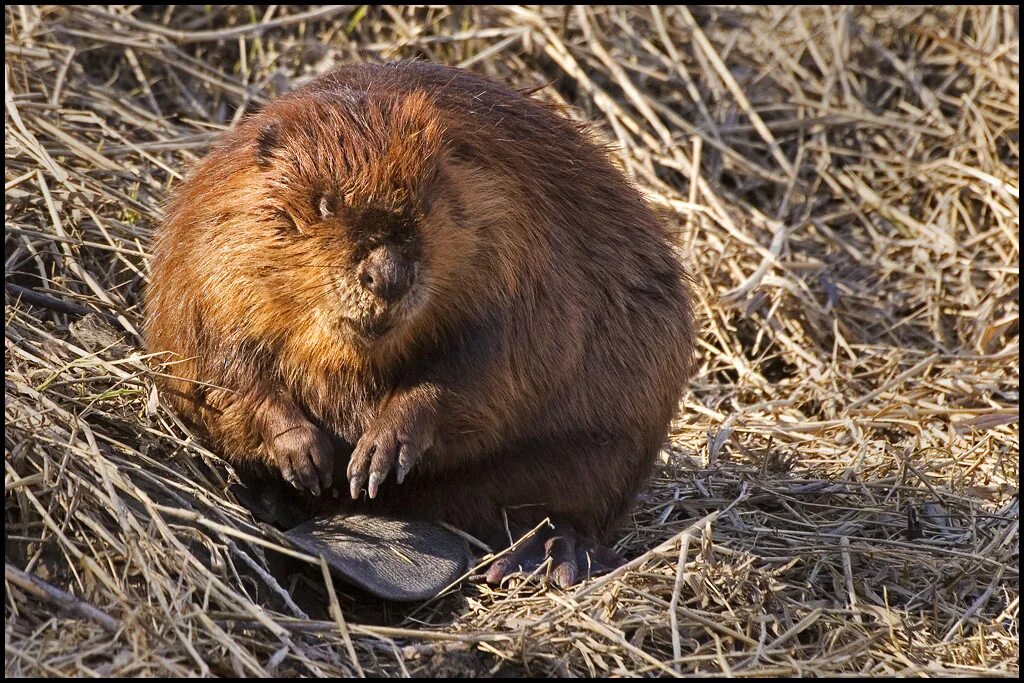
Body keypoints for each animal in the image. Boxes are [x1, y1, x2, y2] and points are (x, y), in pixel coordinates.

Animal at [144, 61, 700, 589]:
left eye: (427, 202)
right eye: (322, 203)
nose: (388, 274)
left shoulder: (518, 246)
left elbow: (487, 366)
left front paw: (377, 453)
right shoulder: (207, 257)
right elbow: (215, 364)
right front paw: (306, 456)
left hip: (604, 453)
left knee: (572, 504)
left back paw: (545, 553)